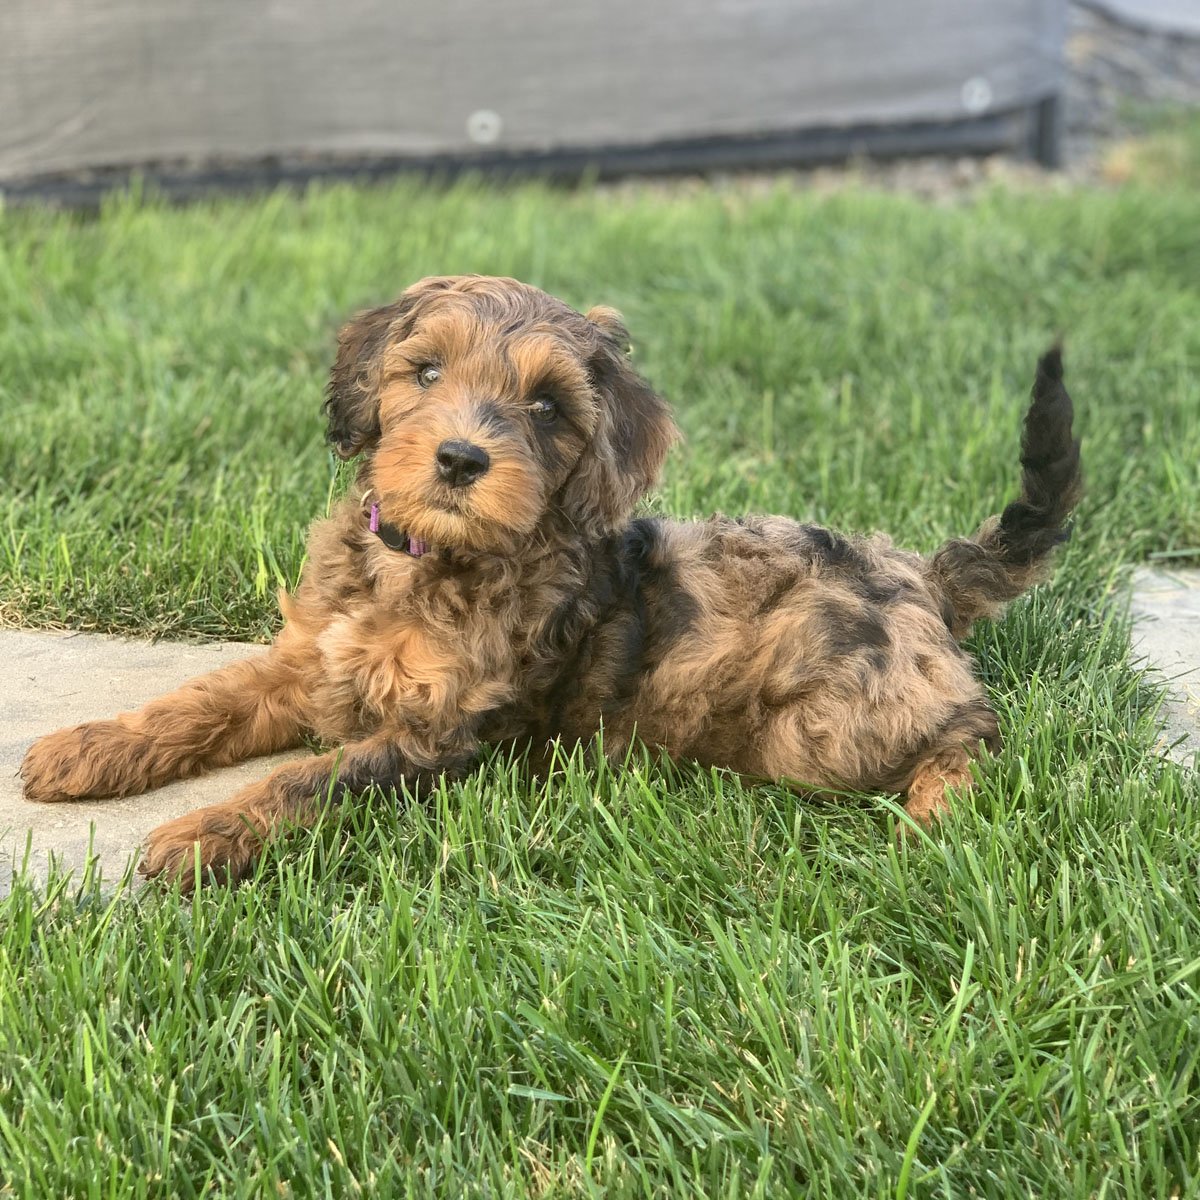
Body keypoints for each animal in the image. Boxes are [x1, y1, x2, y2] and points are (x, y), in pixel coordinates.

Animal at [18, 276, 1089, 888]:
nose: (459, 459)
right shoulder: (308, 662)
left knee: (976, 727)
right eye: (425, 371)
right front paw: (86, 748)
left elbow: (312, 779)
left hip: (824, 724)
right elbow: (200, 699)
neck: (423, 565)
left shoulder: (441, 735)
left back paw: (941, 810)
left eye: (544, 405)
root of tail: (922, 570)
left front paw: (204, 835)